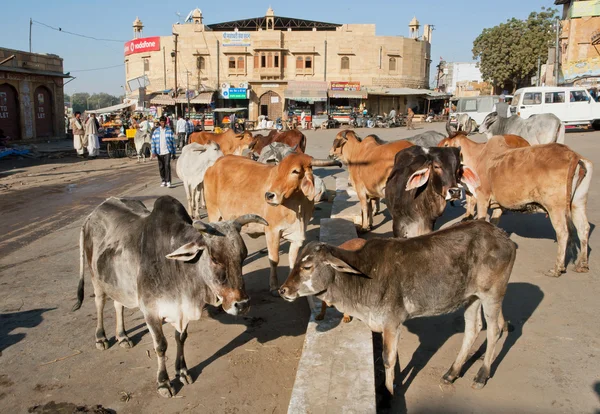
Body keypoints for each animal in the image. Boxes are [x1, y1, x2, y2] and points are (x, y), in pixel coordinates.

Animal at [71, 197, 266, 398]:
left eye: (242, 256)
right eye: (214, 258)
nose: (242, 304)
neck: (177, 268)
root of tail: (94, 213)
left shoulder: (182, 310)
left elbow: (181, 338)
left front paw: (182, 371)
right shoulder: (151, 311)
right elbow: (161, 346)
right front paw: (163, 382)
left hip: (117, 283)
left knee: (119, 305)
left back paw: (123, 336)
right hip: (96, 278)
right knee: (100, 303)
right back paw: (101, 338)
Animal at [204, 153, 340, 294]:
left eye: (295, 171)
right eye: (278, 170)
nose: (269, 195)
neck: (297, 203)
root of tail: (216, 164)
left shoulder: (297, 236)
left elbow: (293, 260)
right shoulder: (272, 231)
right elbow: (274, 259)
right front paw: (274, 286)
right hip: (214, 213)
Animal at [278, 218, 516, 392]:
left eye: (307, 266)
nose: (283, 290)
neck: (364, 274)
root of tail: (504, 237)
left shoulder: (392, 323)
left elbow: (388, 359)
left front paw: (389, 391)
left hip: (492, 294)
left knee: (494, 330)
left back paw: (481, 375)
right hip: (472, 298)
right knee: (473, 329)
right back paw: (452, 373)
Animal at [438, 134, 592, 278]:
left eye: (445, 146)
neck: (477, 156)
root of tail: (572, 154)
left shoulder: (482, 198)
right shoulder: (498, 205)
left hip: (555, 207)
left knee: (563, 233)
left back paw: (557, 268)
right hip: (577, 203)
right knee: (583, 229)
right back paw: (582, 265)